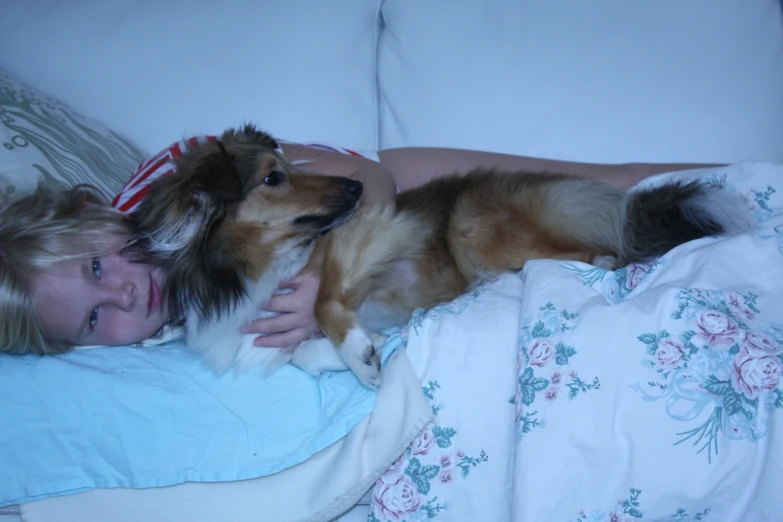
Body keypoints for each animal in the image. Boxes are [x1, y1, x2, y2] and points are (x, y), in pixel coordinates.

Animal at [132, 125, 756, 386]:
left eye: (287, 165)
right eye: (273, 176)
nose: (357, 189)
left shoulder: (367, 234)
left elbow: (325, 305)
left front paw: (359, 355)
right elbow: (302, 353)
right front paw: (358, 350)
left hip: (472, 229)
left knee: (598, 252)